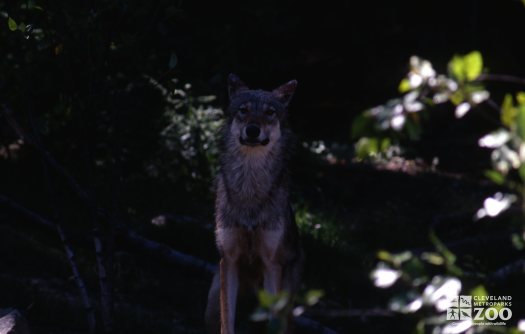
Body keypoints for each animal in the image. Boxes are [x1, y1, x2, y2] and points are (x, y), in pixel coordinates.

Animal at [205, 74, 302, 332]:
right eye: (243, 110)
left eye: (269, 112)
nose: (252, 130)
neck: (249, 190)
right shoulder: (228, 261)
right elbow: (227, 322)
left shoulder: (271, 264)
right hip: (213, 298)